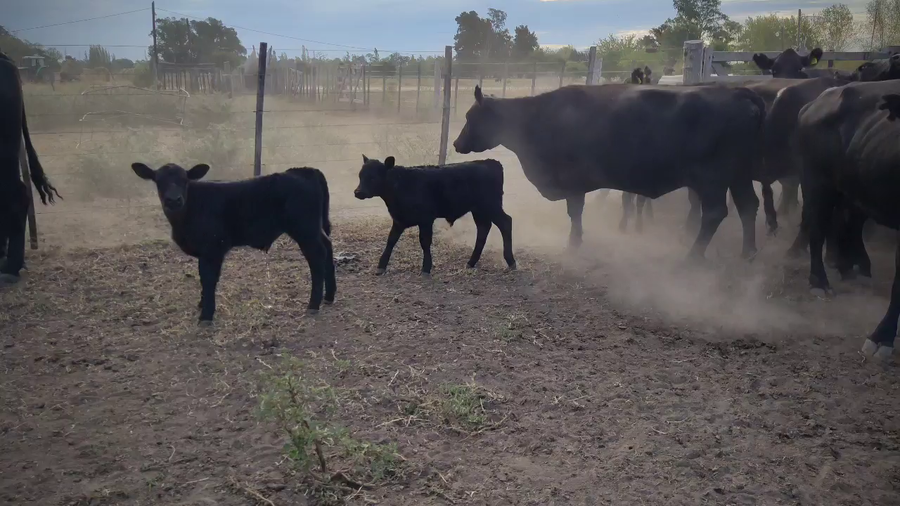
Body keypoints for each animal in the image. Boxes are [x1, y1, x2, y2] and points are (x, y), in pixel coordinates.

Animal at [130, 163, 336, 323]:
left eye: (184, 180)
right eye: (158, 180)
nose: (173, 200)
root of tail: (303, 170)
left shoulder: (213, 249)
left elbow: (208, 278)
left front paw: (206, 315)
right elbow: (203, 278)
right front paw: (202, 304)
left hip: (305, 230)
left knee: (317, 256)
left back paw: (313, 304)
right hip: (314, 228)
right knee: (328, 246)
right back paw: (330, 295)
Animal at [353, 155, 516, 276]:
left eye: (373, 177)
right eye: (360, 176)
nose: (357, 192)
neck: (402, 185)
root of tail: (489, 162)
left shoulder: (426, 219)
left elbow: (425, 241)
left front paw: (426, 268)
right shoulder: (399, 220)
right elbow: (391, 240)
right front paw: (381, 265)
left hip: (491, 206)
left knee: (505, 222)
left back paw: (511, 262)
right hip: (479, 210)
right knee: (483, 228)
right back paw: (471, 262)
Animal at [452, 84, 766, 261]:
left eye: (470, 116)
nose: (456, 144)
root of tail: (738, 92)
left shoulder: (574, 182)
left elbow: (575, 213)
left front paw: (573, 244)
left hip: (713, 178)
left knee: (714, 213)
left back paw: (693, 255)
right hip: (739, 175)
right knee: (749, 206)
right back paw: (748, 253)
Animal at [795, 80, 900, 362]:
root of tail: (813, 105)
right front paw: (881, 337)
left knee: (845, 225)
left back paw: (849, 270)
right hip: (817, 183)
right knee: (818, 228)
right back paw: (820, 282)